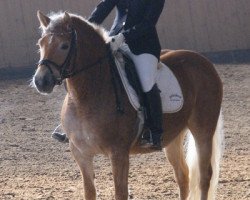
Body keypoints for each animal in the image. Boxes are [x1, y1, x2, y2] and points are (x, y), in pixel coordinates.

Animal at [32, 11, 223, 200]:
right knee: (183, 176)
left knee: (204, 176)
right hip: (173, 135)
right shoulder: (81, 153)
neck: (85, 97)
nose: (41, 81)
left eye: (64, 46)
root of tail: (203, 60)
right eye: (40, 44)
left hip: (203, 129)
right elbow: (90, 192)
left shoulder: (119, 153)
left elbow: (120, 193)